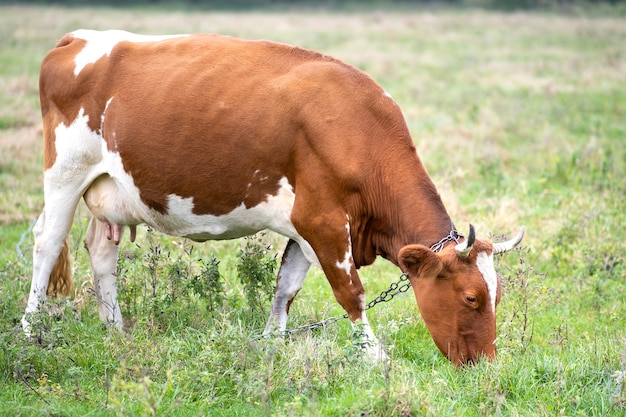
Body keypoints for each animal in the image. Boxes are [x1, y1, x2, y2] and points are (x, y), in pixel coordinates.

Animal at [23, 30, 520, 364]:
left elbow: (286, 287)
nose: (486, 364)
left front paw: (271, 343)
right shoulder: (322, 220)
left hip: (108, 187)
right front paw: (373, 355)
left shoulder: (303, 226)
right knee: (47, 244)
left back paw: (115, 329)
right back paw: (30, 329)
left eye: (496, 296)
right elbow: (351, 293)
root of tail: (79, 37)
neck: (358, 128)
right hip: (65, 172)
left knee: (100, 250)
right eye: (471, 298)